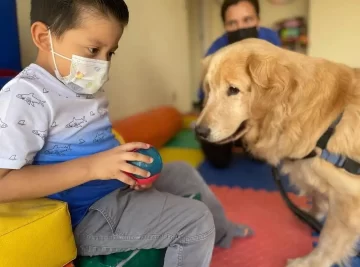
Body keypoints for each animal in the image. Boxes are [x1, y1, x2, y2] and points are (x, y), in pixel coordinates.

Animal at [195, 38, 360, 267]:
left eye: (233, 90)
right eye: (208, 89)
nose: (199, 131)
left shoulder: (348, 200)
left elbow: (328, 241)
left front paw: (309, 262)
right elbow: (317, 197)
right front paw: (310, 215)